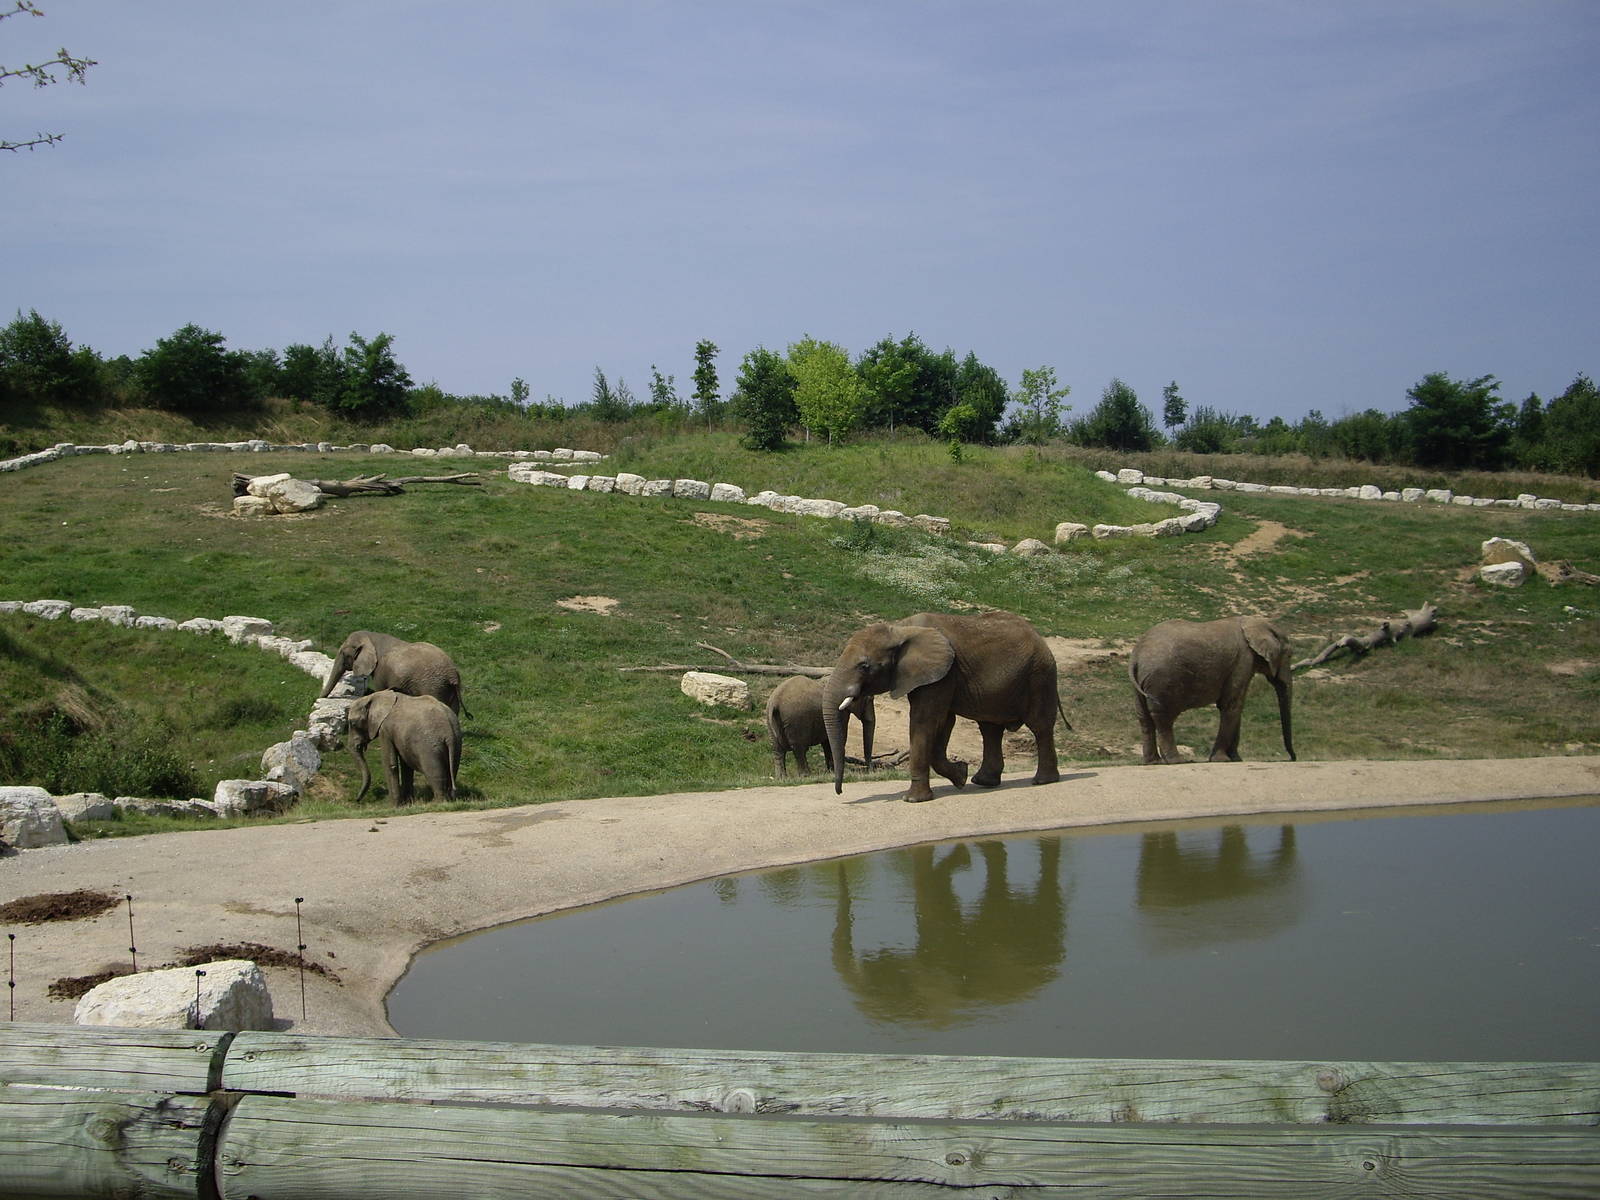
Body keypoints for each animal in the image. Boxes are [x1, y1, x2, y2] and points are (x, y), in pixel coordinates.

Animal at [319, 630, 471, 718]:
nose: (320, 698)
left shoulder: (380, 671)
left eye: (343, 654)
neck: (372, 636)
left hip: (434, 685)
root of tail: (453, 674)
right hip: (448, 688)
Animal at [822, 609, 1064, 803]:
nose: (839, 792)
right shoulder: (931, 675)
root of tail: (1040, 637)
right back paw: (983, 781)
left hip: (1040, 676)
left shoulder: (944, 674)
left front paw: (913, 800)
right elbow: (944, 721)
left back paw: (1043, 781)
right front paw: (961, 776)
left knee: (1039, 725)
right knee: (990, 728)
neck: (900, 628)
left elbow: (926, 719)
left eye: (864, 666)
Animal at [1128, 616, 1296, 765]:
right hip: (1162, 681)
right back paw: (1177, 761)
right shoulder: (1243, 660)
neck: (1256, 623)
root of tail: (1136, 656)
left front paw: (1236, 759)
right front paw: (1222, 760)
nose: (1292, 758)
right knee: (1164, 719)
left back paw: (1153, 762)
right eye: (1289, 655)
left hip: (1142, 684)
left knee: (1144, 718)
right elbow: (1231, 705)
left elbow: (1237, 706)